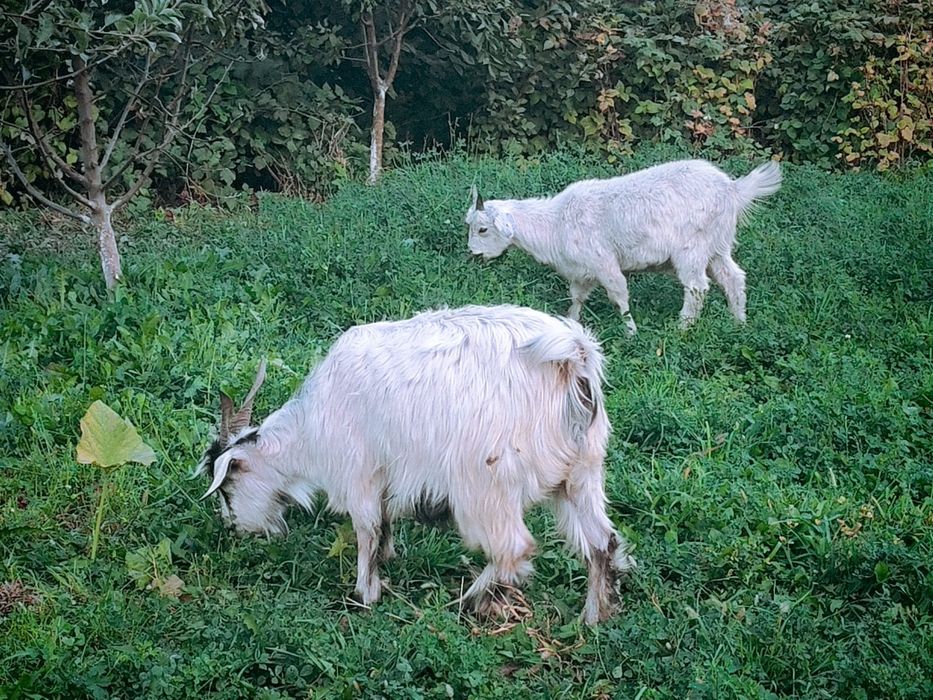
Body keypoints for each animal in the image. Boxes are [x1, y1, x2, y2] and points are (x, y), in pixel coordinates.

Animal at [196, 305, 635, 624]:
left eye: (226, 488)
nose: (234, 530)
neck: (311, 427)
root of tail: (574, 356)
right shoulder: (385, 476)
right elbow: (385, 523)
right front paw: (388, 559)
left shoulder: (359, 471)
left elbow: (367, 530)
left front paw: (365, 594)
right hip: (581, 473)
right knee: (603, 541)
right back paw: (593, 619)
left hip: (485, 482)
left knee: (514, 548)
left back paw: (470, 601)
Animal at [465, 159, 782, 334]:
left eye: (482, 229)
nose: (473, 253)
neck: (556, 222)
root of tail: (733, 189)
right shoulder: (582, 272)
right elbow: (577, 299)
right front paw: (571, 323)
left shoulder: (603, 262)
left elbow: (619, 296)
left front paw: (631, 332)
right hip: (718, 245)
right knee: (733, 277)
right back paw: (739, 322)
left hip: (692, 248)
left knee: (696, 287)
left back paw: (682, 328)